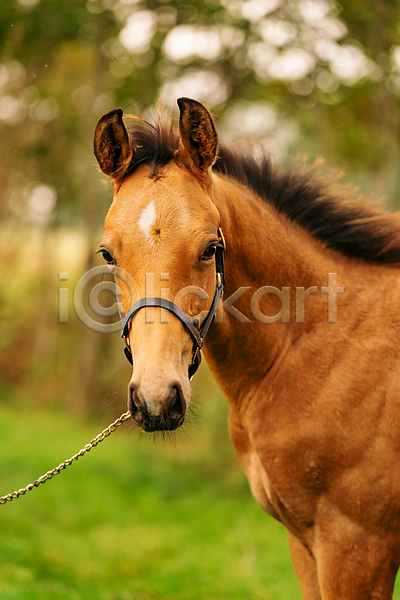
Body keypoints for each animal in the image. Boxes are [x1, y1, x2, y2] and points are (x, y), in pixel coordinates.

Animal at [94, 96, 400, 596]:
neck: (309, 344)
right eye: (108, 254)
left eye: (209, 248)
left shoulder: (358, 546)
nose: (156, 400)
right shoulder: (304, 543)